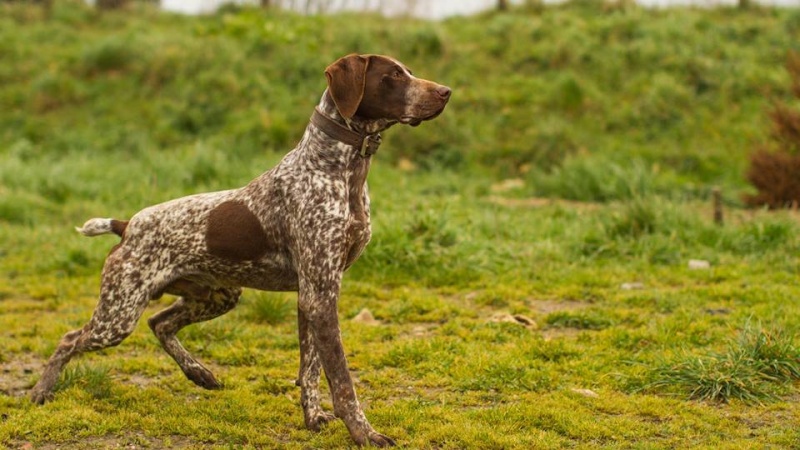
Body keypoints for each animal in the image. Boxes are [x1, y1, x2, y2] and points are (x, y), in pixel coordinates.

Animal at [29, 53, 450, 446]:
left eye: (408, 72)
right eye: (393, 75)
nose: (446, 92)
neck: (337, 171)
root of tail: (128, 224)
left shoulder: (312, 294)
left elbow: (310, 368)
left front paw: (313, 417)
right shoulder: (320, 293)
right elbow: (341, 380)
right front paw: (364, 433)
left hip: (219, 296)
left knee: (160, 323)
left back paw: (199, 373)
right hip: (119, 314)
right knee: (71, 338)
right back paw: (41, 391)